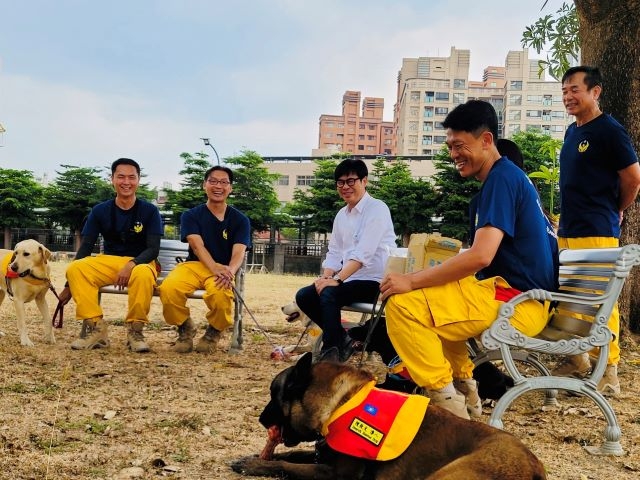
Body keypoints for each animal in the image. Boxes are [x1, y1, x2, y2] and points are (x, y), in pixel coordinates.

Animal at [230, 350, 544, 478]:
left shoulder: (334, 473)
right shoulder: (324, 455)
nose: (260, 418)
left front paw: (256, 466)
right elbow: (293, 454)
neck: (342, 402)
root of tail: (536, 466)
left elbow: (288, 465)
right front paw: (256, 458)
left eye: (273, 395)